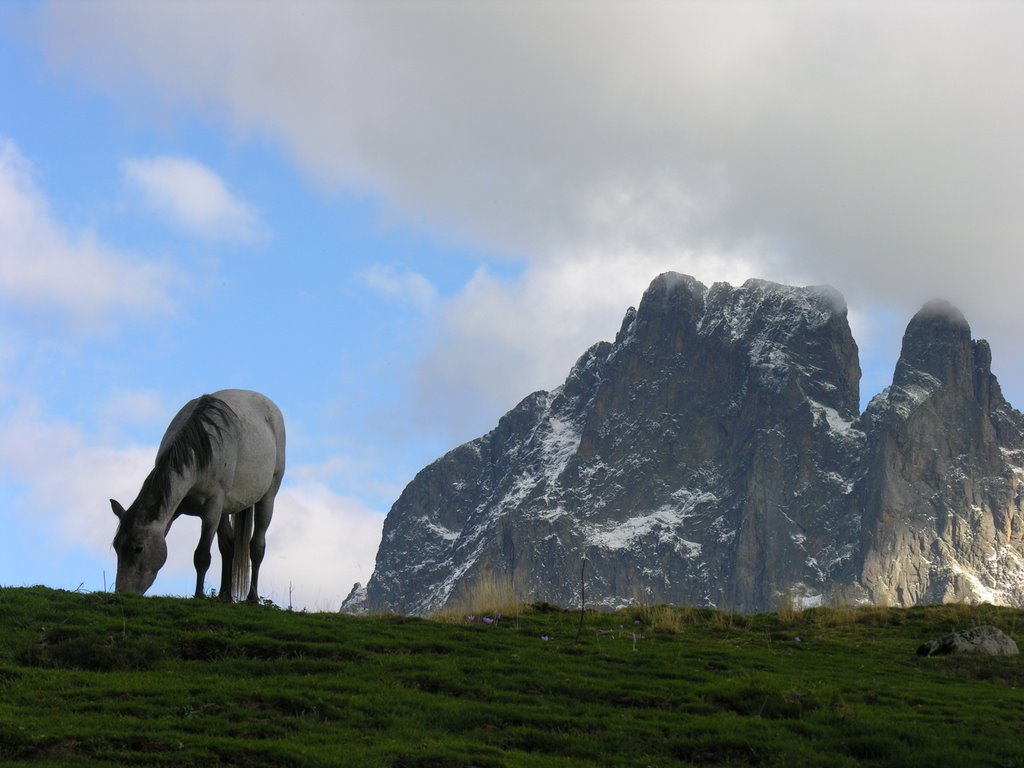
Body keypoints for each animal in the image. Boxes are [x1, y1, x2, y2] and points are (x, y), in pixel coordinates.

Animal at [110, 391, 286, 602]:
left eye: (139, 548)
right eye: (116, 547)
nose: (122, 593)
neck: (201, 455)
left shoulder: (212, 508)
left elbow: (202, 556)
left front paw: (199, 595)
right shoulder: (174, 510)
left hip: (267, 498)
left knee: (256, 547)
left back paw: (252, 598)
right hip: (226, 509)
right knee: (228, 546)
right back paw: (225, 595)